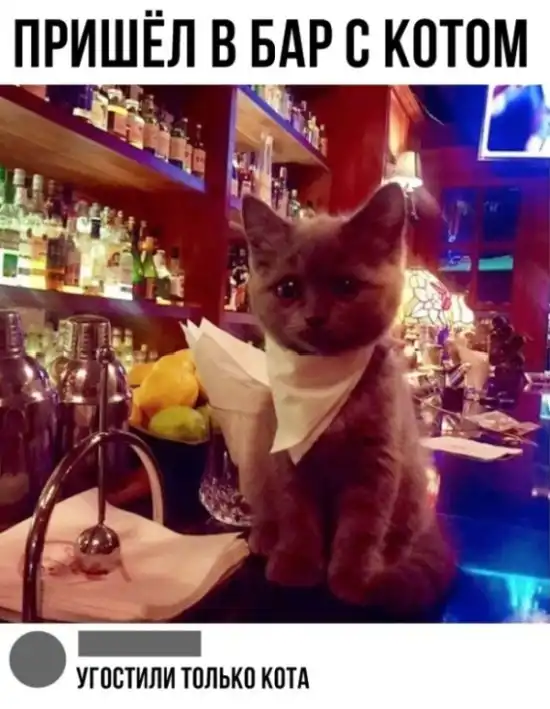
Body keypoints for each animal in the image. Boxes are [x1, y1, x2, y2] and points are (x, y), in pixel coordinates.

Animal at [240, 182, 456, 617]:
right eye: (288, 289)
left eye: (345, 286)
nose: (314, 317)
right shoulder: (288, 460)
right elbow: (297, 514)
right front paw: (296, 566)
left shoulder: (377, 463)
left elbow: (362, 527)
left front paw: (354, 581)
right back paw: (265, 538)